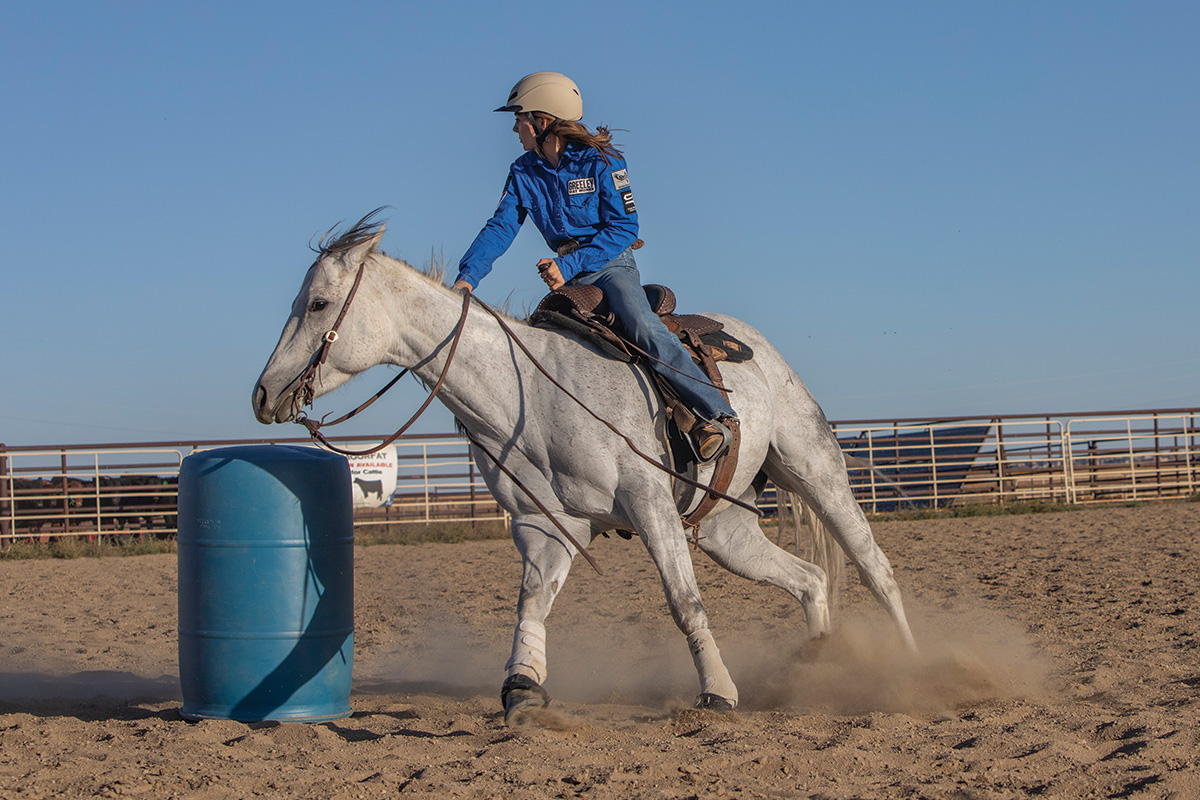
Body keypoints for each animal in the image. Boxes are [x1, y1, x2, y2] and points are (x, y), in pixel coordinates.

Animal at [250, 212, 907, 724]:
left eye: (318, 303)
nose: (262, 394)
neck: (532, 396)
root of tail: (757, 345)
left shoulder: (649, 504)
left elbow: (684, 601)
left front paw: (718, 691)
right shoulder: (547, 527)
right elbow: (532, 604)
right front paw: (521, 688)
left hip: (814, 468)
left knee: (874, 566)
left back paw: (911, 659)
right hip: (726, 528)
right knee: (809, 578)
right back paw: (817, 663)